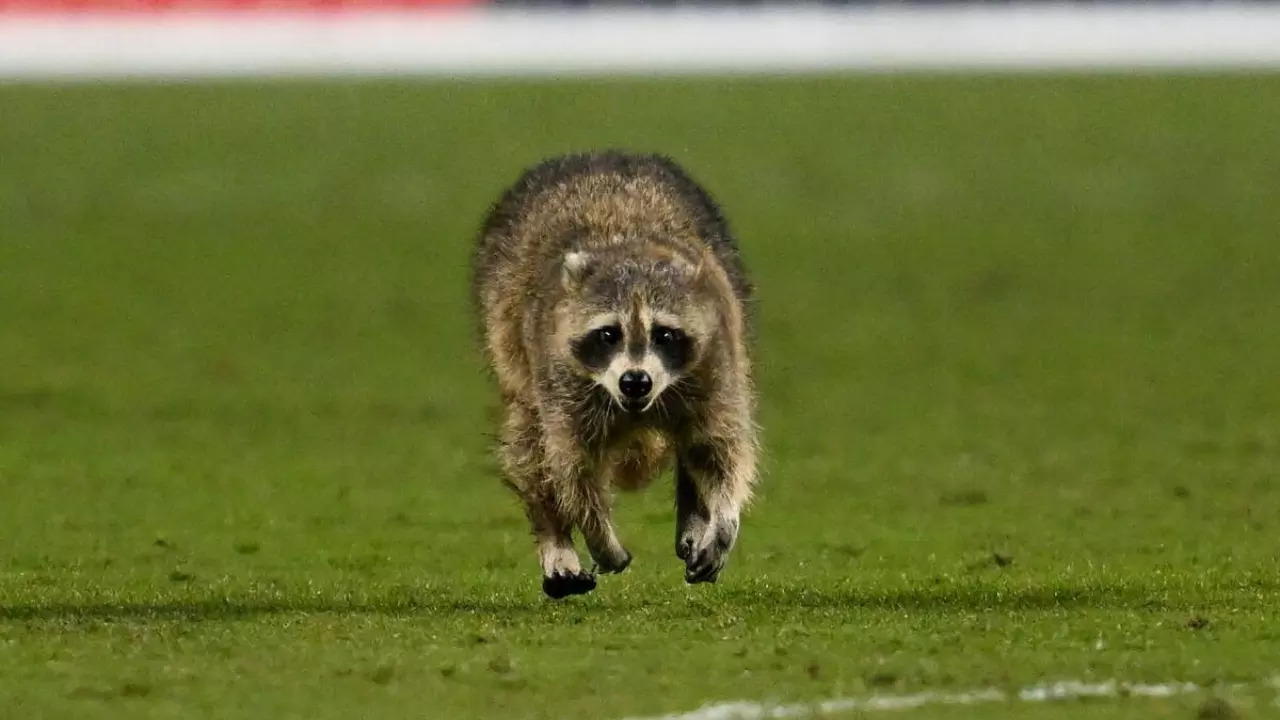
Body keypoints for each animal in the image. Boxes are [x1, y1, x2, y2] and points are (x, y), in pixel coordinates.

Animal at [471, 148, 752, 597]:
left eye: (664, 334)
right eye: (608, 334)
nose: (635, 381)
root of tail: (599, 157)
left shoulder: (715, 359)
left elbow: (721, 447)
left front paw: (722, 519)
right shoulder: (559, 377)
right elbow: (572, 465)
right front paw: (597, 534)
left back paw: (695, 512)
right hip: (509, 341)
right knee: (528, 443)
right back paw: (556, 541)